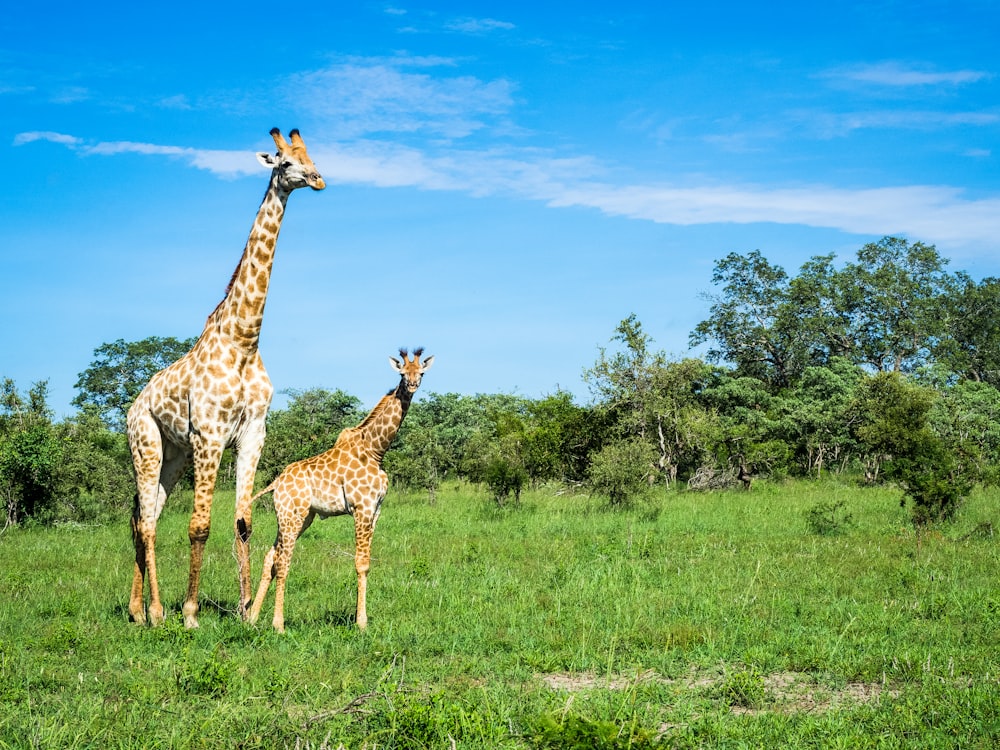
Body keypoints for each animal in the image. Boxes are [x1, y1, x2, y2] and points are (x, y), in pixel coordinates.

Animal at [126, 128, 324, 628]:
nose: (318, 180)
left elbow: (243, 522)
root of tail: (132, 407)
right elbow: (199, 526)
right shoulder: (210, 435)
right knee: (149, 522)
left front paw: (245, 610)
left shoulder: (252, 433)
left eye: (312, 157)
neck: (244, 340)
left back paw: (137, 609)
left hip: (173, 455)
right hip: (146, 444)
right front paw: (192, 612)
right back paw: (157, 610)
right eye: (285, 162)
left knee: (143, 516)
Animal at [248, 350, 432, 632]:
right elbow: (361, 563)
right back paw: (278, 624)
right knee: (282, 562)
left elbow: (366, 563)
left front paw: (360, 618)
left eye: (421, 372)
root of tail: (276, 483)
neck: (376, 450)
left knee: (270, 557)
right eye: (402, 373)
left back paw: (252, 618)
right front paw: (361, 623)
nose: (412, 385)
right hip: (293, 516)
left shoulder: (376, 510)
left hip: (297, 517)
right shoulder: (362, 507)